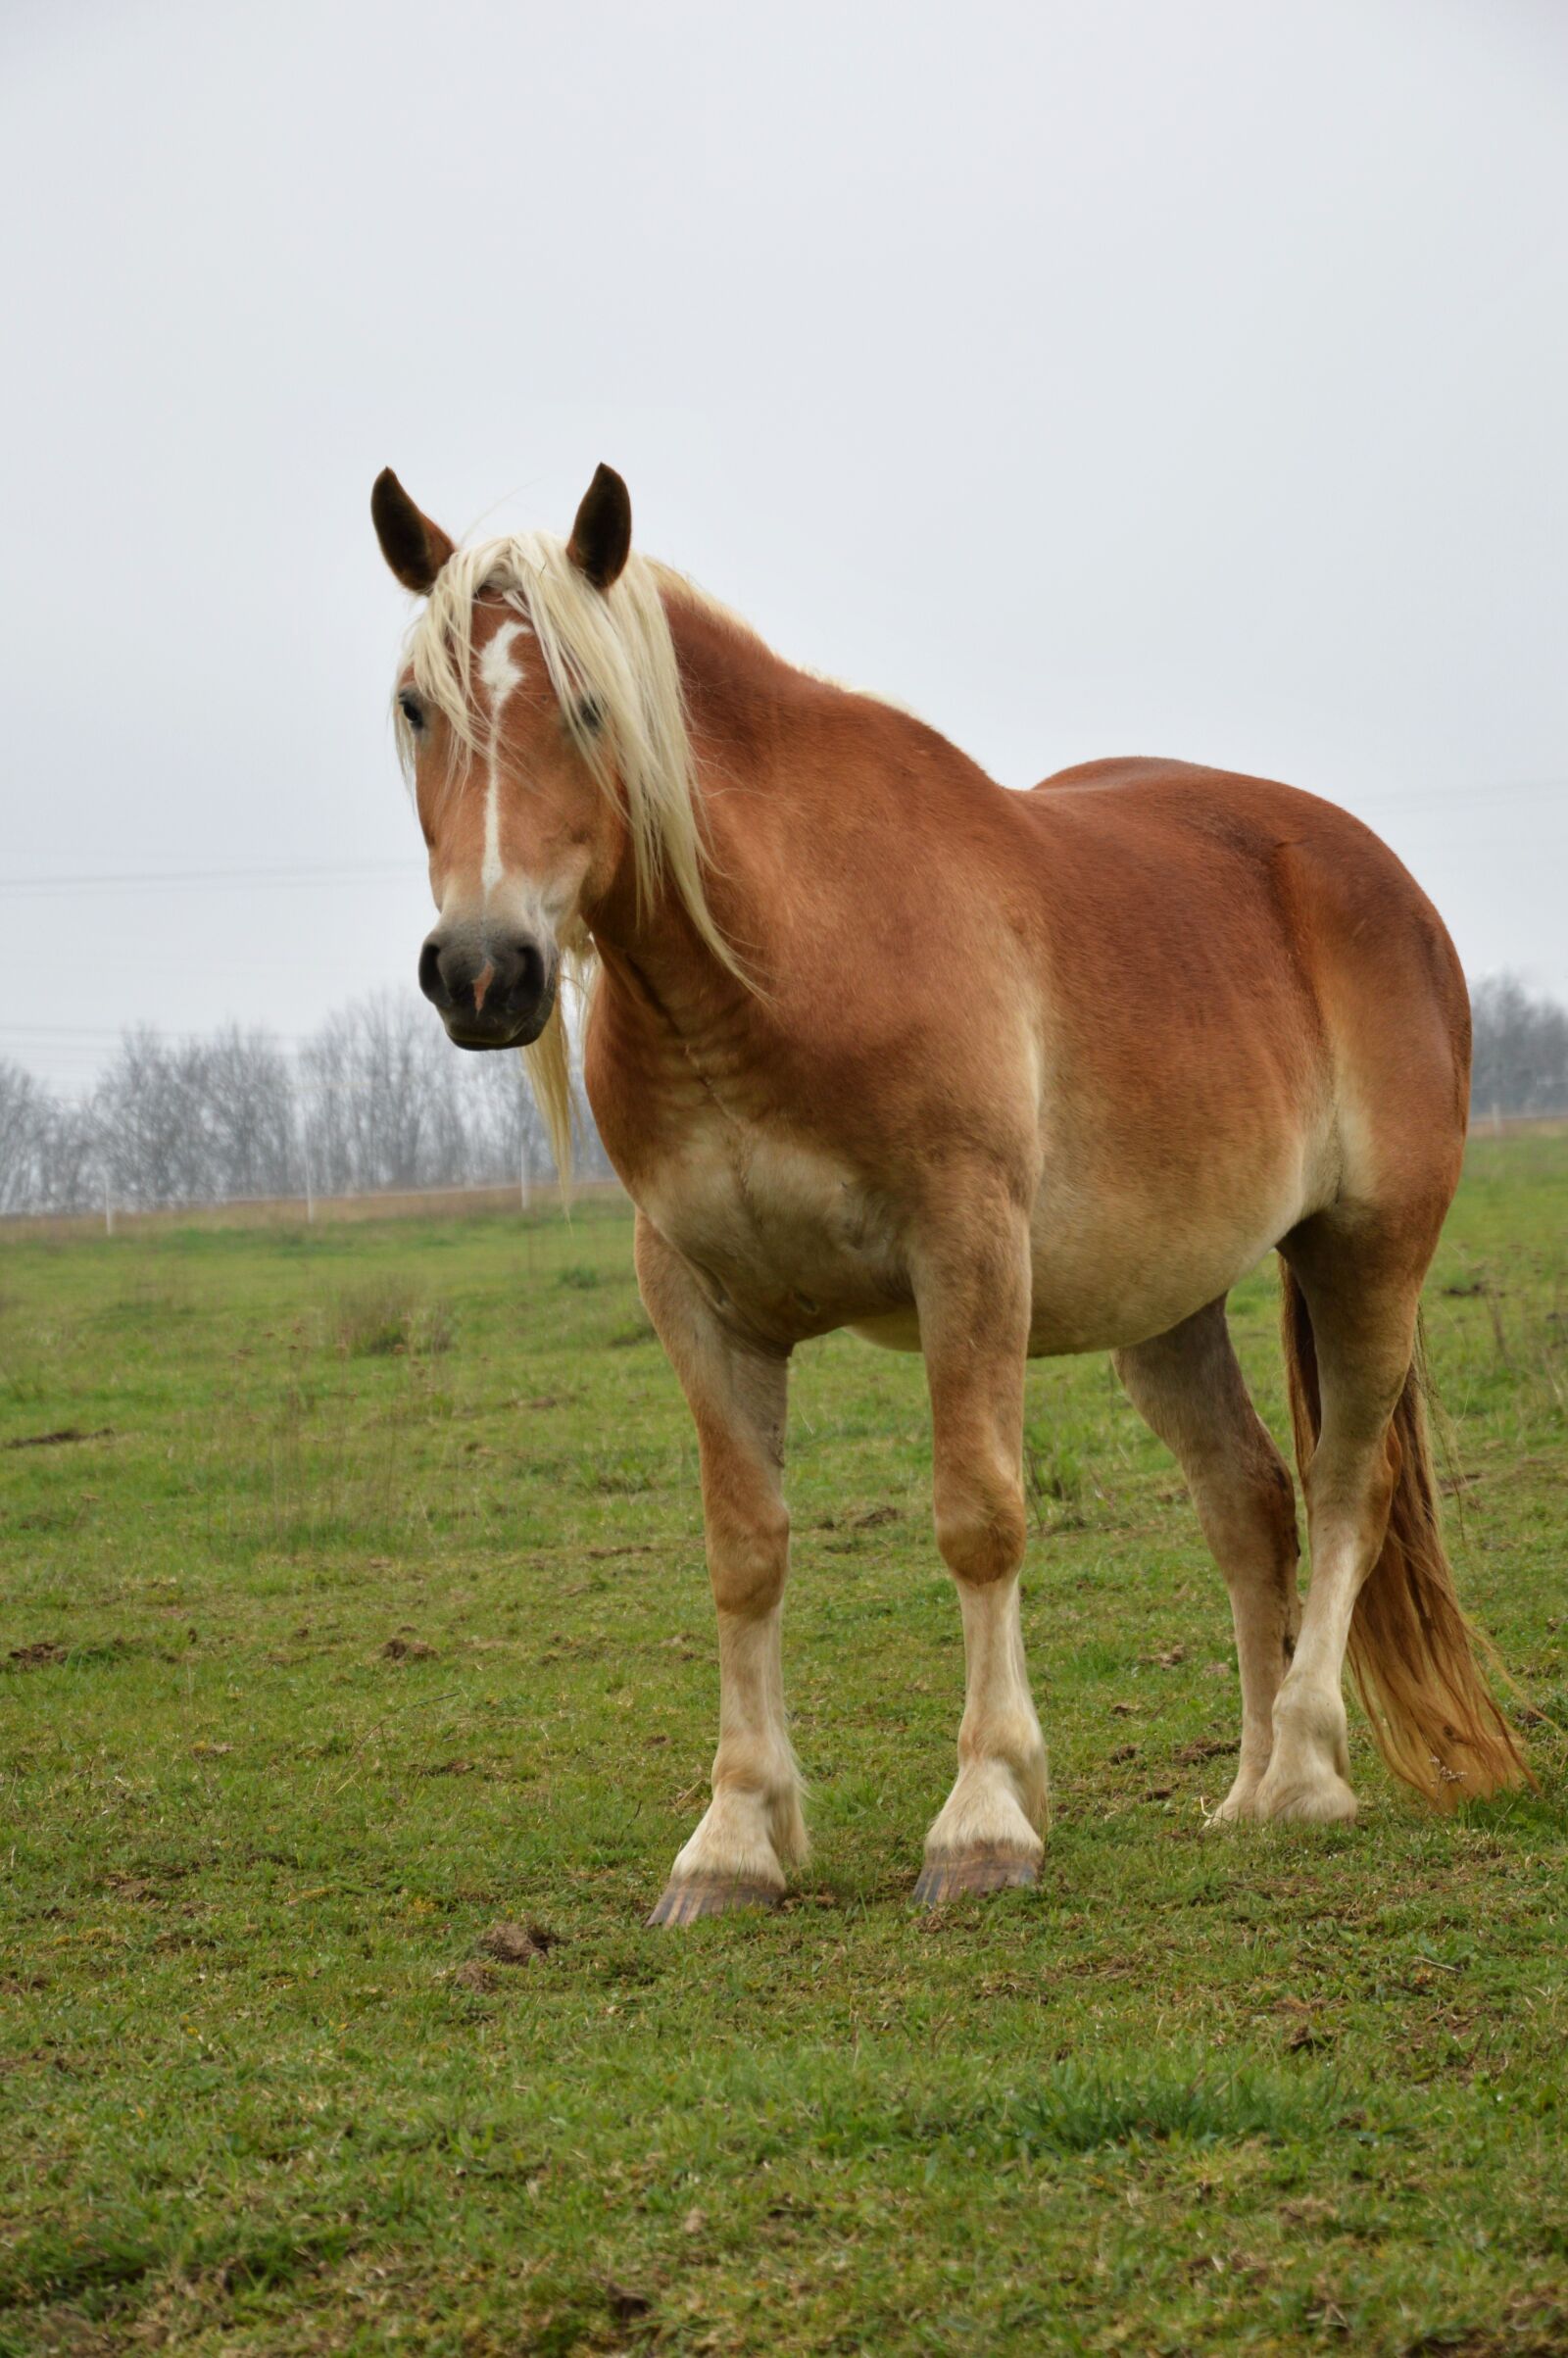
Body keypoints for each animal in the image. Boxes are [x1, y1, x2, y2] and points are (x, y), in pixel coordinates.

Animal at [371, 459, 1528, 1925]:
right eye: (417, 704)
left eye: (587, 702)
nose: (484, 969)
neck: (782, 952)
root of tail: (1377, 879)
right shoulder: (694, 1293)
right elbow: (744, 1549)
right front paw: (733, 1838)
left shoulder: (966, 1252)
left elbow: (979, 1518)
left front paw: (984, 1820)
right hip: (1170, 1303)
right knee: (1249, 1504)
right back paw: (1249, 1790)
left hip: (1368, 1253)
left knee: (1343, 1490)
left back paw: (1313, 1768)